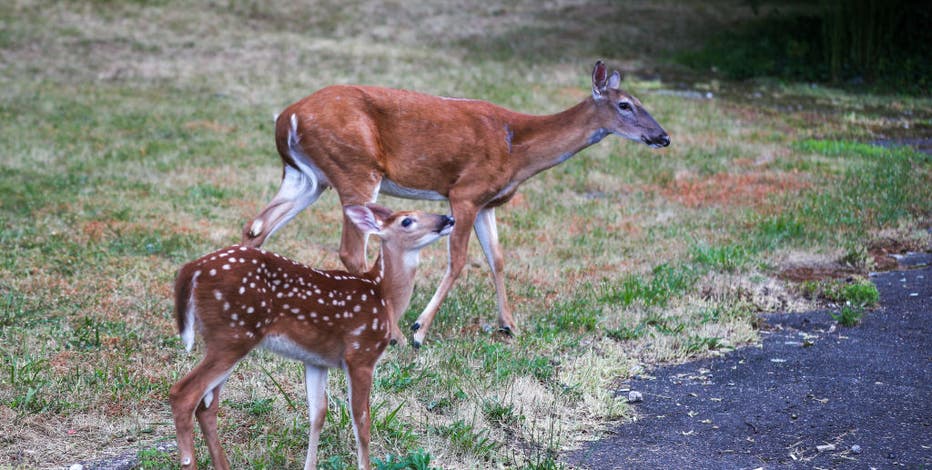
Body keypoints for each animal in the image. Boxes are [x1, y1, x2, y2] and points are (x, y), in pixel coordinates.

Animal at [169, 204, 455, 470]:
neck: (383, 295)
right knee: (183, 394)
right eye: (407, 221)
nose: (448, 219)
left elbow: (318, 413)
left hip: (228, 338)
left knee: (207, 406)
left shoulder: (316, 360)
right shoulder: (361, 352)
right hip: (233, 334)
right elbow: (361, 418)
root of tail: (192, 269)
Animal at [241, 61, 669, 348]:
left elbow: (498, 258)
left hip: (307, 177)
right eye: (626, 105)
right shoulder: (464, 192)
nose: (663, 136)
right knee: (350, 250)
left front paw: (509, 325)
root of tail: (286, 118)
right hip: (356, 169)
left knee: (257, 226)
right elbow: (460, 260)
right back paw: (394, 334)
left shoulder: (488, 202)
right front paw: (420, 330)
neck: (516, 150)